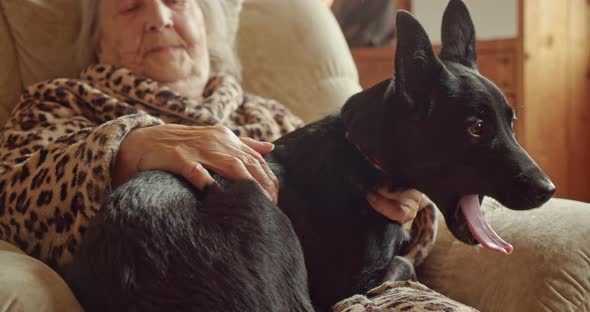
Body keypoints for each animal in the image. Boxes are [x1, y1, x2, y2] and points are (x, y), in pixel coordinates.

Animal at [62, 1, 556, 310]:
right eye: (475, 128)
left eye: (510, 121)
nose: (548, 190)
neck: (363, 156)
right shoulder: (344, 285)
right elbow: (404, 263)